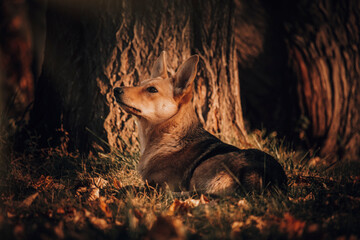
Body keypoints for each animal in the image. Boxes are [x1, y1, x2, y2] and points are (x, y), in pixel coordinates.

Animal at [113, 51, 286, 195]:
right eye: (140, 83)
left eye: (152, 90)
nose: (116, 89)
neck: (168, 132)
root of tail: (260, 175)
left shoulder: (159, 184)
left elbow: (137, 187)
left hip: (202, 169)